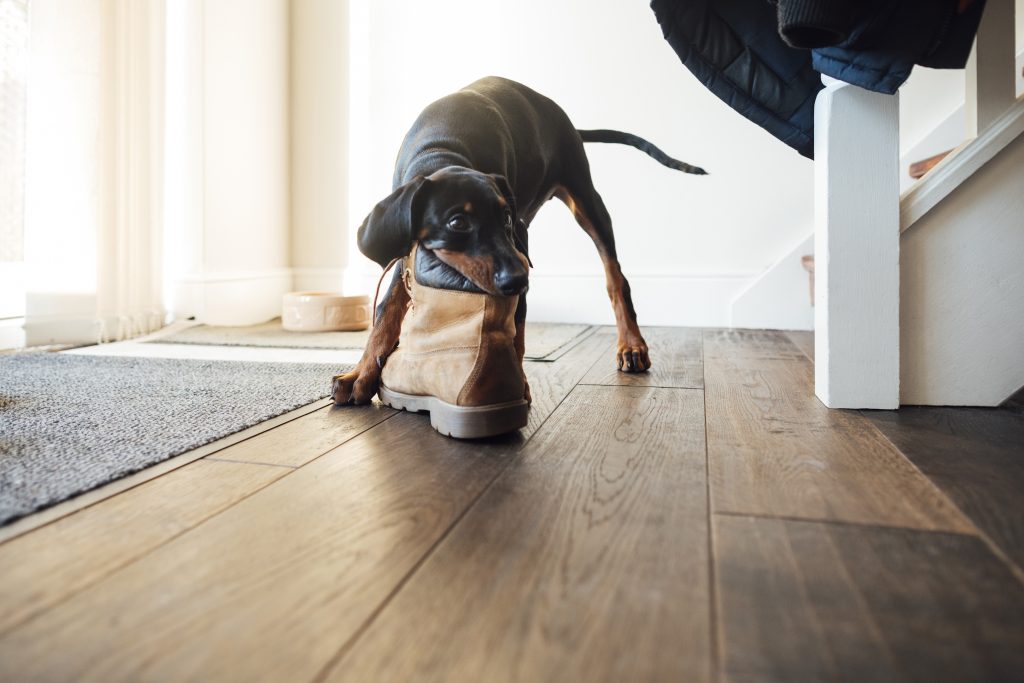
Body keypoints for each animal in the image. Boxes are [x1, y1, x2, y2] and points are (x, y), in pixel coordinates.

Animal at [333, 75, 704, 405]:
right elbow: (385, 313)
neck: (441, 151)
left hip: (586, 200)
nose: (517, 280)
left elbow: (516, 329)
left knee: (616, 276)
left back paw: (632, 345)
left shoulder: (519, 244)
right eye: (458, 222)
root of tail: (567, 122)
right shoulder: (407, 251)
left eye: (506, 218)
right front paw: (360, 375)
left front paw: (514, 385)